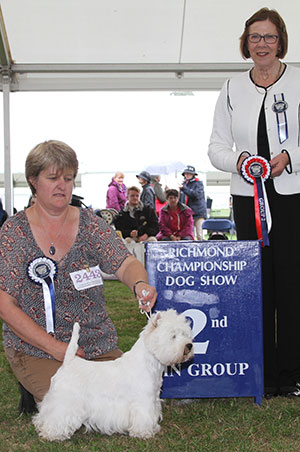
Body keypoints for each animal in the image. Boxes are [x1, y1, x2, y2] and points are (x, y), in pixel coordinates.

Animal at [32, 308, 192, 440]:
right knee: (56, 417)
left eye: (185, 334)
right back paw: (52, 434)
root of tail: (69, 361)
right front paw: (143, 433)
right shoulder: (143, 401)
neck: (150, 363)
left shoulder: (153, 400)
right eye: (173, 336)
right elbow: (143, 417)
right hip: (65, 401)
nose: (189, 345)